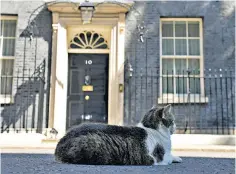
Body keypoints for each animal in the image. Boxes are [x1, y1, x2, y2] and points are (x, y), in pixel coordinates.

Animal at [54, 104, 183, 165]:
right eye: (173, 121)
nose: (176, 126)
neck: (150, 127)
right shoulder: (160, 158)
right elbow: (169, 157)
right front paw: (177, 158)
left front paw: (177, 157)